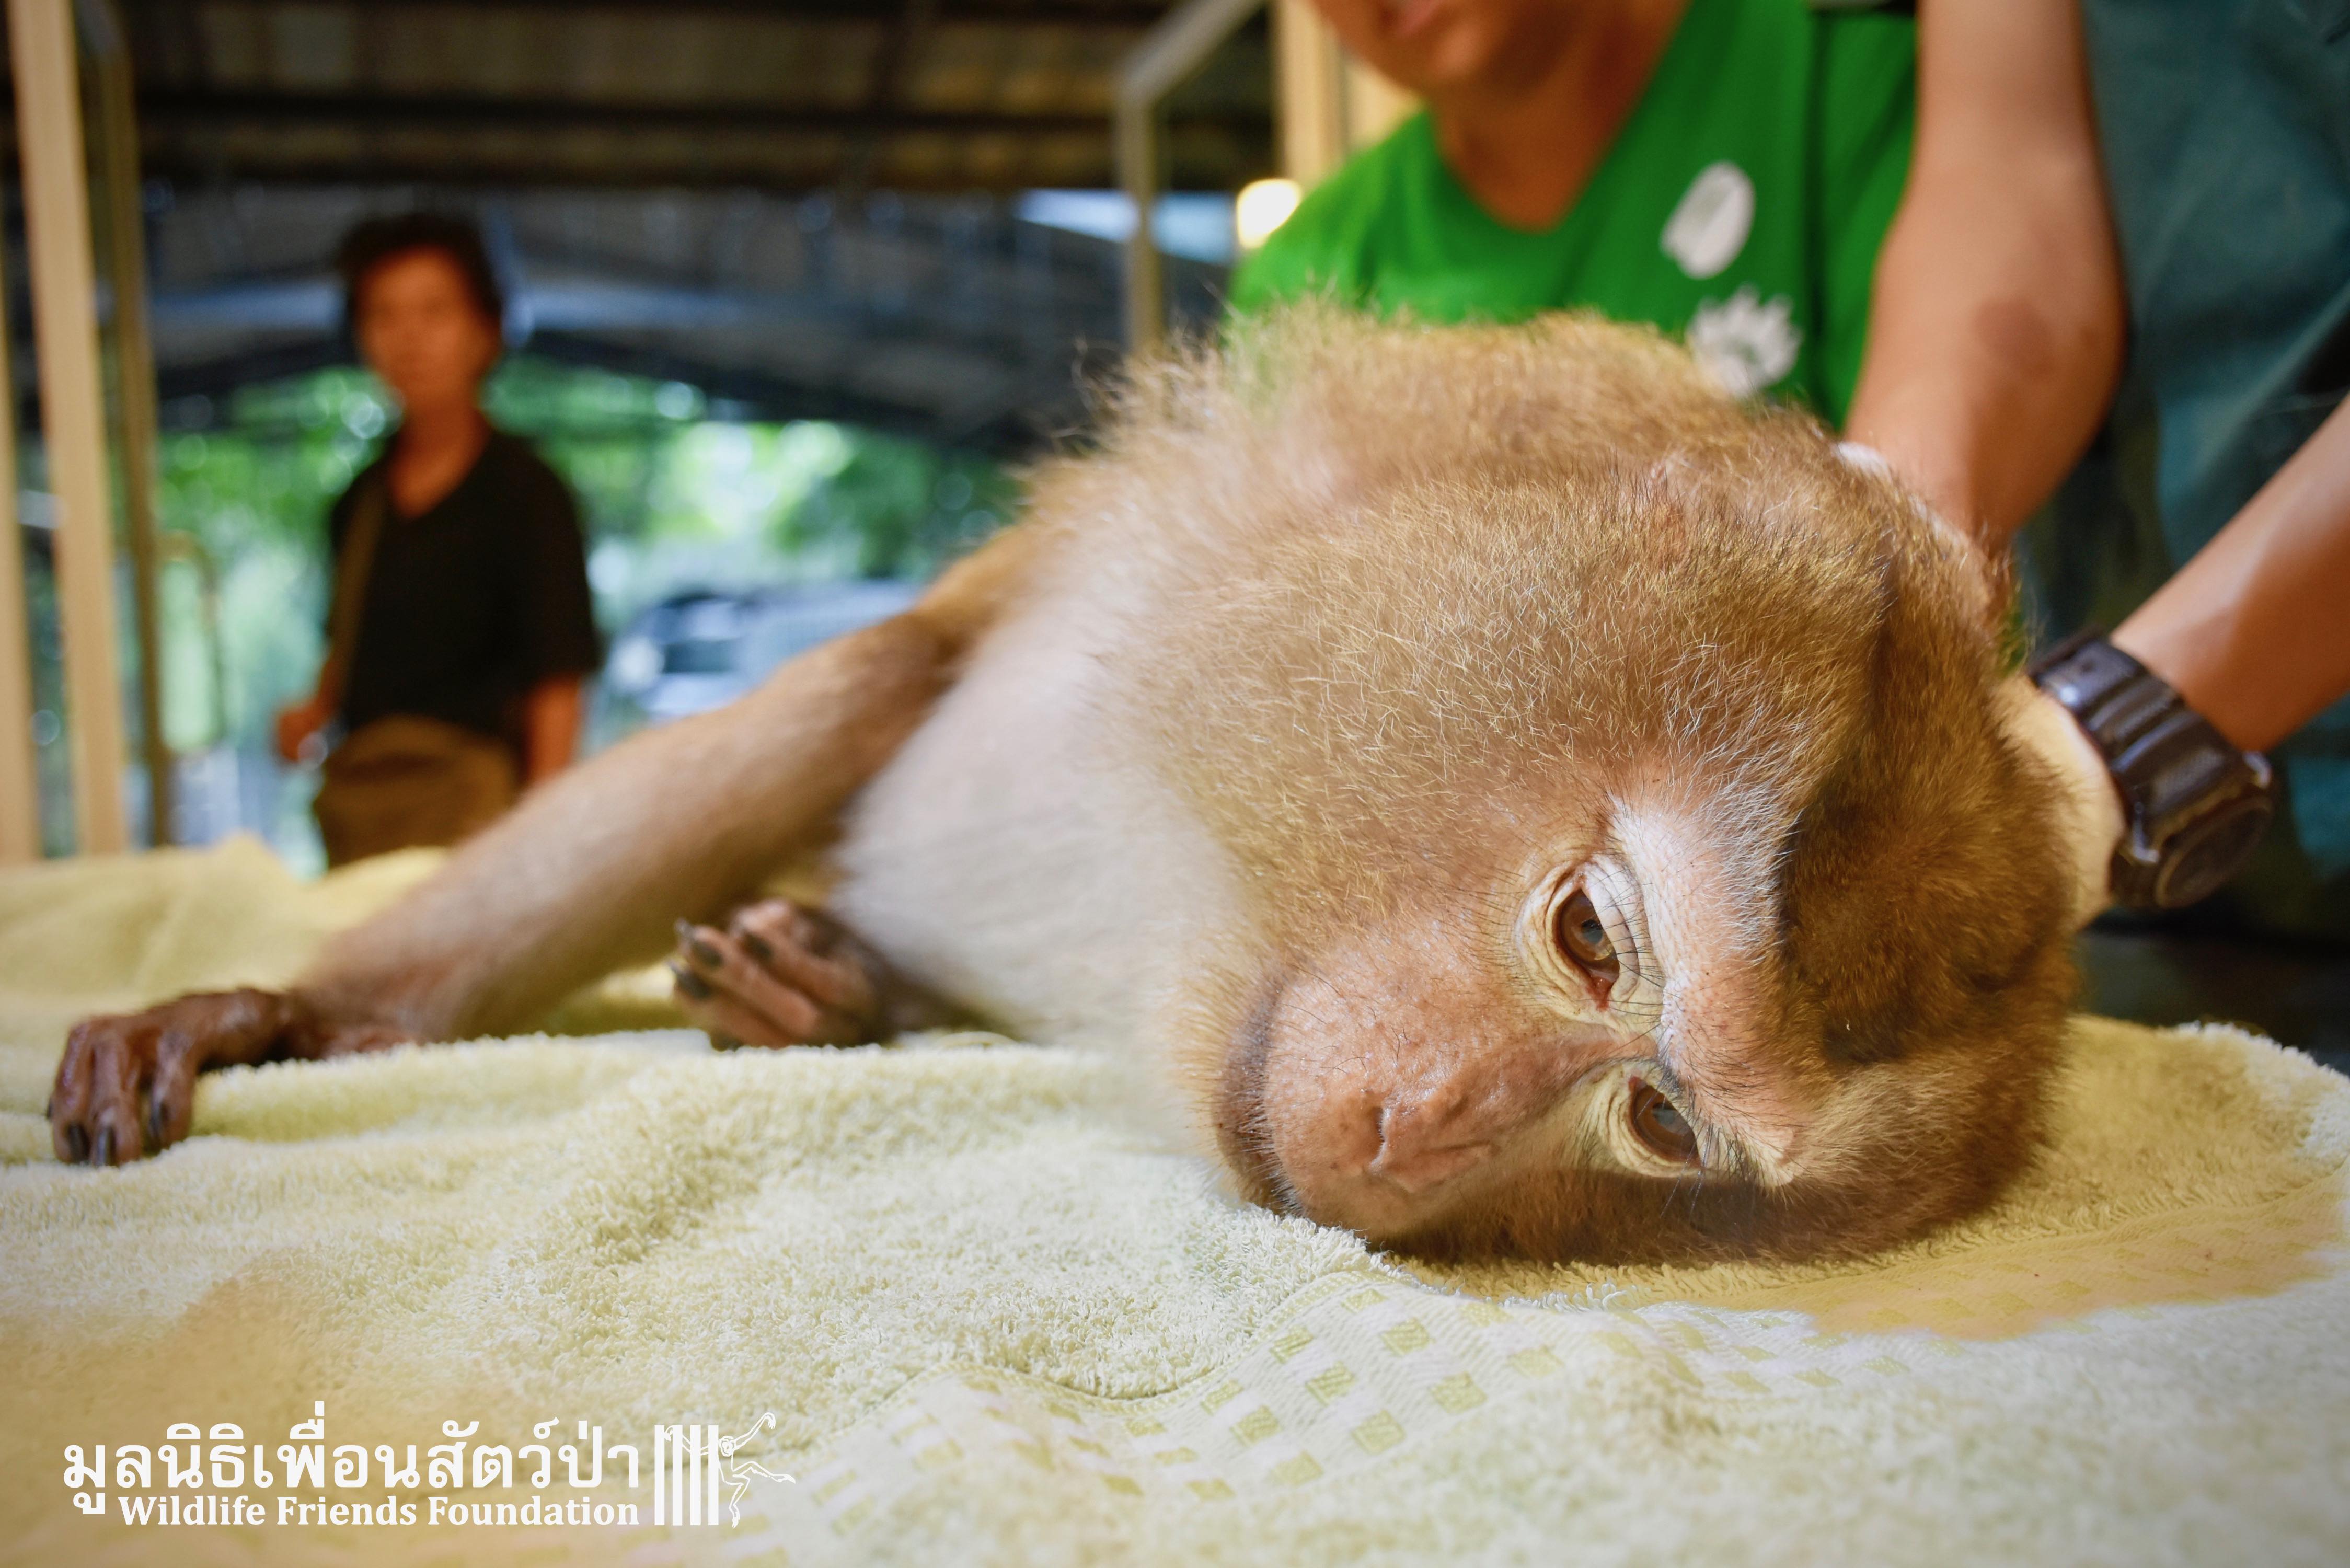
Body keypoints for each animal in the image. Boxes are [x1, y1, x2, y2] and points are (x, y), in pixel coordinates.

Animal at [45, 307, 2079, 1265]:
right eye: (1590, 933)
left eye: (1660, 1130)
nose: (1425, 1127)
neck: (1195, 910)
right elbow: (872, 678)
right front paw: (279, 1010)